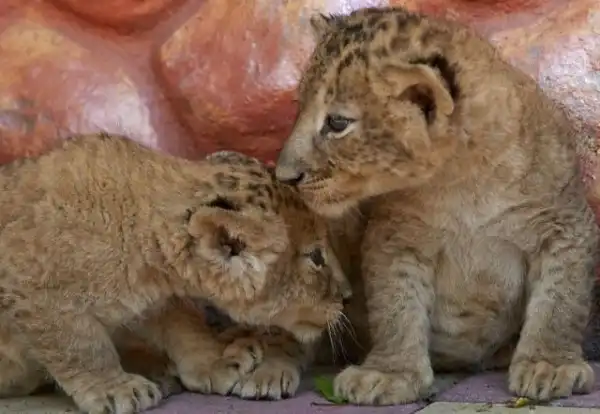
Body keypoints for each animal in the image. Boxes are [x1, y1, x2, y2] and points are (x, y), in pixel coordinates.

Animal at [0, 134, 351, 414]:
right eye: (316, 257)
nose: (348, 295)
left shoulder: (158, 297)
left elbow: (184, 324)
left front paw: (218, 361)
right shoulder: (33, 288)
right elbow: (81, 345)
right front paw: (116, 388)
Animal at [274, 6, 599, 406]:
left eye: (337, 123)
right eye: (298, 109)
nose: (284, 176)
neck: (462, 177)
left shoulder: (564, 224)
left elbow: (560, 303)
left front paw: (549, 365)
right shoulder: (394, 237)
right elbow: (396, 308)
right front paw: (390, 372)